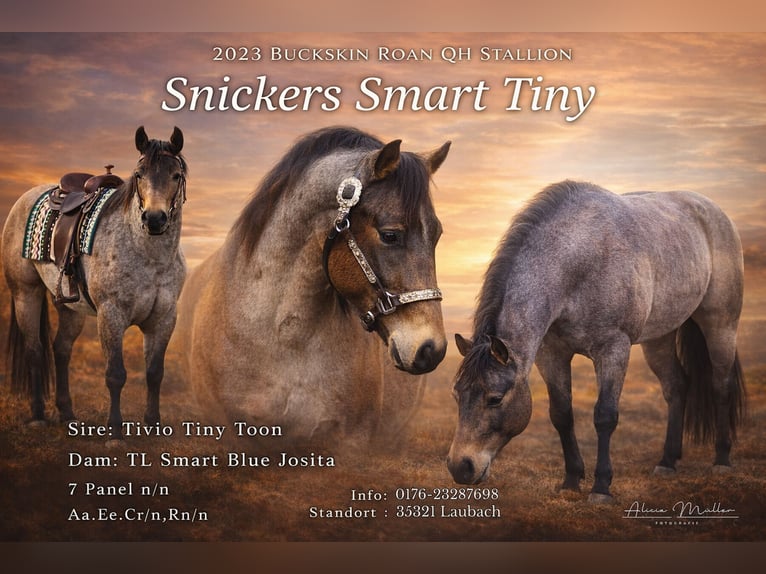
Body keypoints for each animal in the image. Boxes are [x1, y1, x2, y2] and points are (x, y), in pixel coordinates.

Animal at [2, 127, 187, 439]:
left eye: (176, 175)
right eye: (139, 174)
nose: (154, 219)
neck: (150, 256)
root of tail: (25, 198)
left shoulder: (164, 318)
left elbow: (154, 373)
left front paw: (153, 425)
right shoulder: (111, 315)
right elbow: (115, 375)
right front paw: (115, 432)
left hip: (69, 306)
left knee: (61, 350)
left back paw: (67, 414)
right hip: (25, 293)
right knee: (35, 351)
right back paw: (38, 416)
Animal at [447, 180, 746, 502]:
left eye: (495, 398)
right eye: (456, 395)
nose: (460, 467)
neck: (580, 263)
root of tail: (714, 212)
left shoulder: (613, 350)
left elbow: (605, 415)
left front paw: (601, 487)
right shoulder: (552, 354)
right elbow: (562, 415)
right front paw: (571, 480)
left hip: (721, 324)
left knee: (721, 385)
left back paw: (721, 460)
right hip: (659, 338)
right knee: (676, 386)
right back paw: (667, 462)